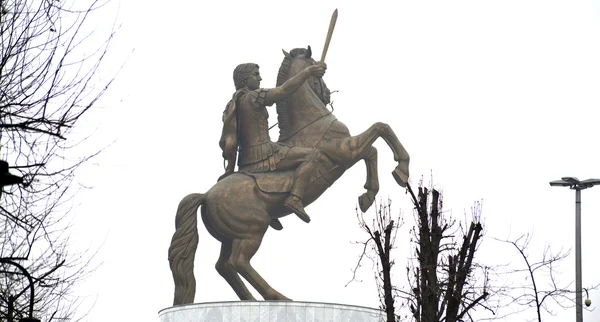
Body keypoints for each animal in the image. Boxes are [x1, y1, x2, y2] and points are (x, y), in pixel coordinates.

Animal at [170, 46, 412, 304]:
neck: (311, 122)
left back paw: (251, 298)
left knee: (223, 266)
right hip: (253, 229)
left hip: (230, 235)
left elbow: (373, 149)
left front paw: (367, 196)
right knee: (239, 262)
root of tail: (205, 196)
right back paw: (277, 296)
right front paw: (401, 170)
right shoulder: (345, 151)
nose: (327, 95)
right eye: (319, 73)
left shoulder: (350, 152)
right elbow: (380, 129)